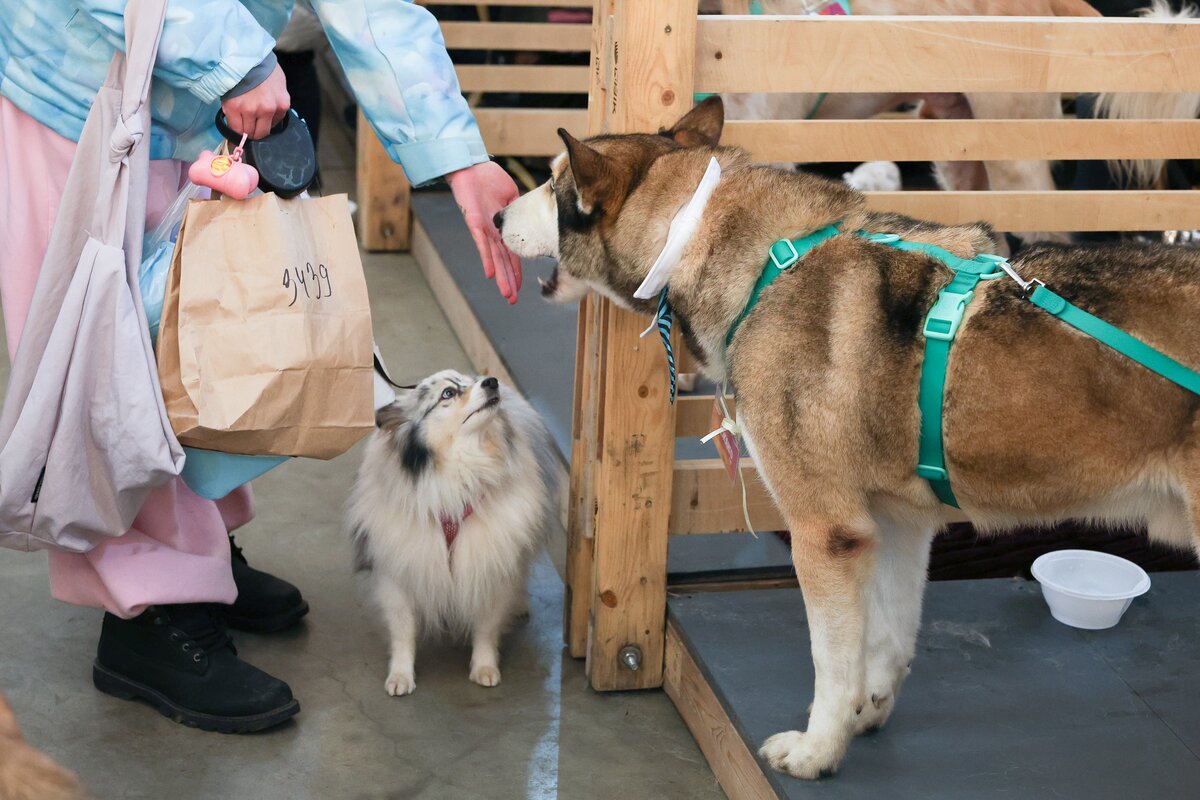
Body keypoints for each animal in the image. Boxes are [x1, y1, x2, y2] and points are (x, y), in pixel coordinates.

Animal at [348, 371, 554, 696]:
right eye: (448, 393)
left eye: (469, 382)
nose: (491, 381)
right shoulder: (400, 572)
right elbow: (403, 631)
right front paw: (401, 675)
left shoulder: (488, 563)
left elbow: (486, 627)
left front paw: (485, 667)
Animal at [495, 97, 1200, 778]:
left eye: (554, 184)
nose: (498, 214)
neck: (746, 257)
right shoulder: (898, 526)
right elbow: (888, 642)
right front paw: (867, 716)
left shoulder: (825, 534)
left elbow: (833, 663)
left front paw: (818, 750)